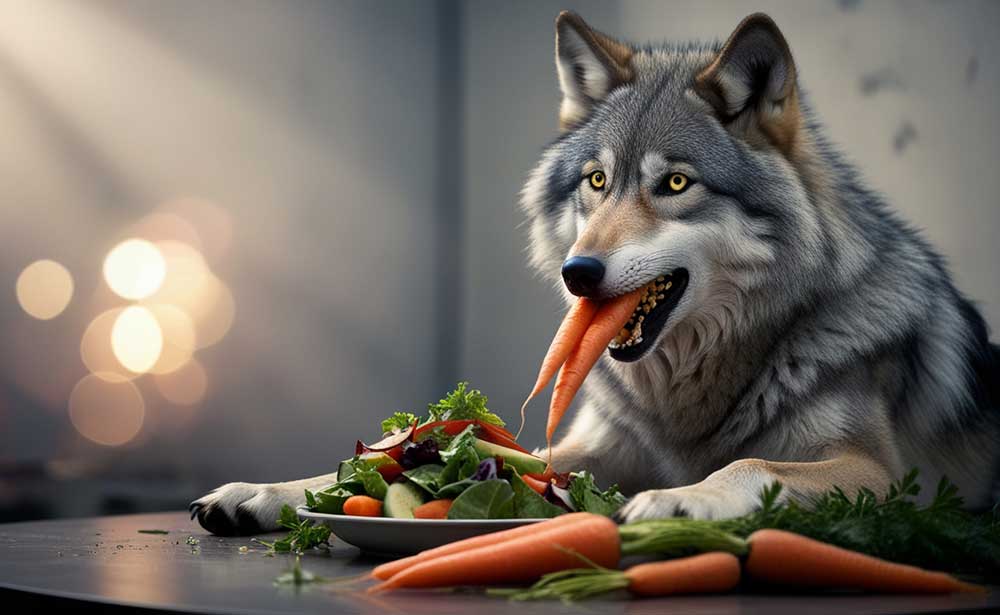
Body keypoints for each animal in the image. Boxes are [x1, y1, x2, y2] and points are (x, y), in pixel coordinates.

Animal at [190, 12, 999, 535]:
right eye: (598, 181)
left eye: (675, 184)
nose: (579, 273)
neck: (690, 396)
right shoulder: (585, 452)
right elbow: (379, 463)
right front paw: (266, 490)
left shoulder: (875, 472)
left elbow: (747, 466)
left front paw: (680, 499)